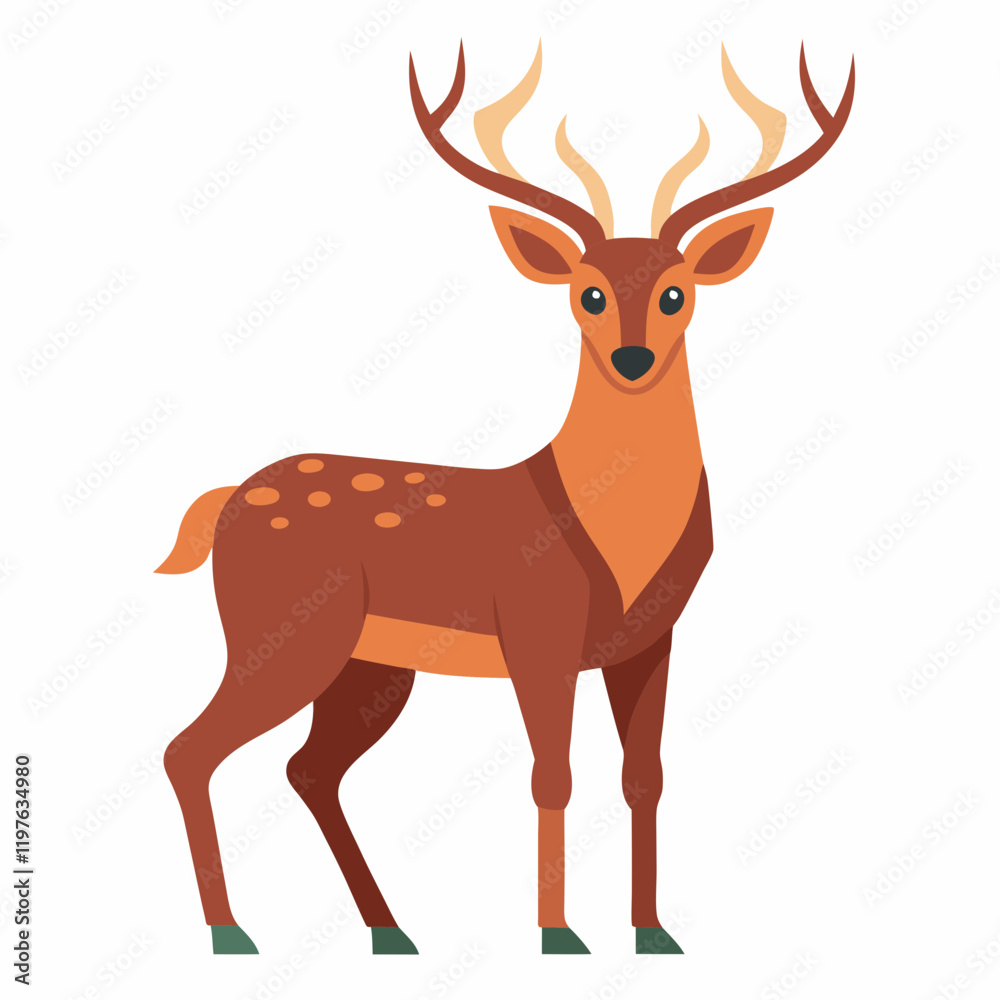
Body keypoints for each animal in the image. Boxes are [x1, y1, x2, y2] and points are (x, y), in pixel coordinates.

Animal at [157, 41, 855, 956]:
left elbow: (644, 776)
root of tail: (224, 503)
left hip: (369, 664)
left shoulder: (650, 639)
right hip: (283, 632)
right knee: (191, 750)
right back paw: (230, 931)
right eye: (588, 292)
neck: (613, 530)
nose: (632, 359)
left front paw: (652, 932)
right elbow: (551, 775)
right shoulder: (537, 628)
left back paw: (390, 931)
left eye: (676, 292)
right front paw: (558, 936)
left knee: (307, 767)